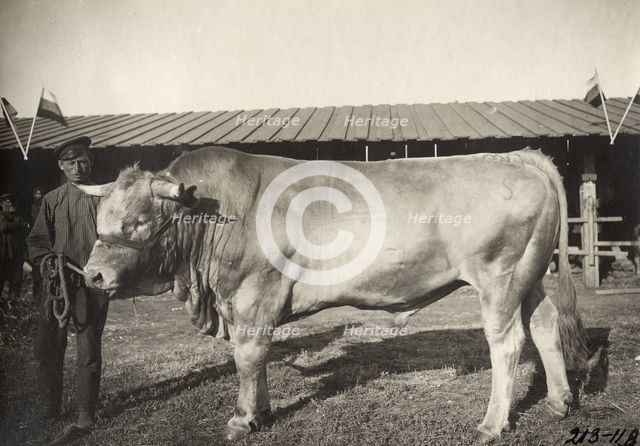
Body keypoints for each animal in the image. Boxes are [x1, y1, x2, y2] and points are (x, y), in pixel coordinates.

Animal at [79, 146, 589, 443]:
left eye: (139, 221)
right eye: (99, 217)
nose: (93, 275)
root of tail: (517, 156)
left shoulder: (253, 293)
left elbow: (248, 356)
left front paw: (243, 418)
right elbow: (260, 358)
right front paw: (263, 411)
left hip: (500, 278)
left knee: (507, 344)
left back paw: (492, 423)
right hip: (529, 276)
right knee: (545, 326)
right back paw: (559, 401)